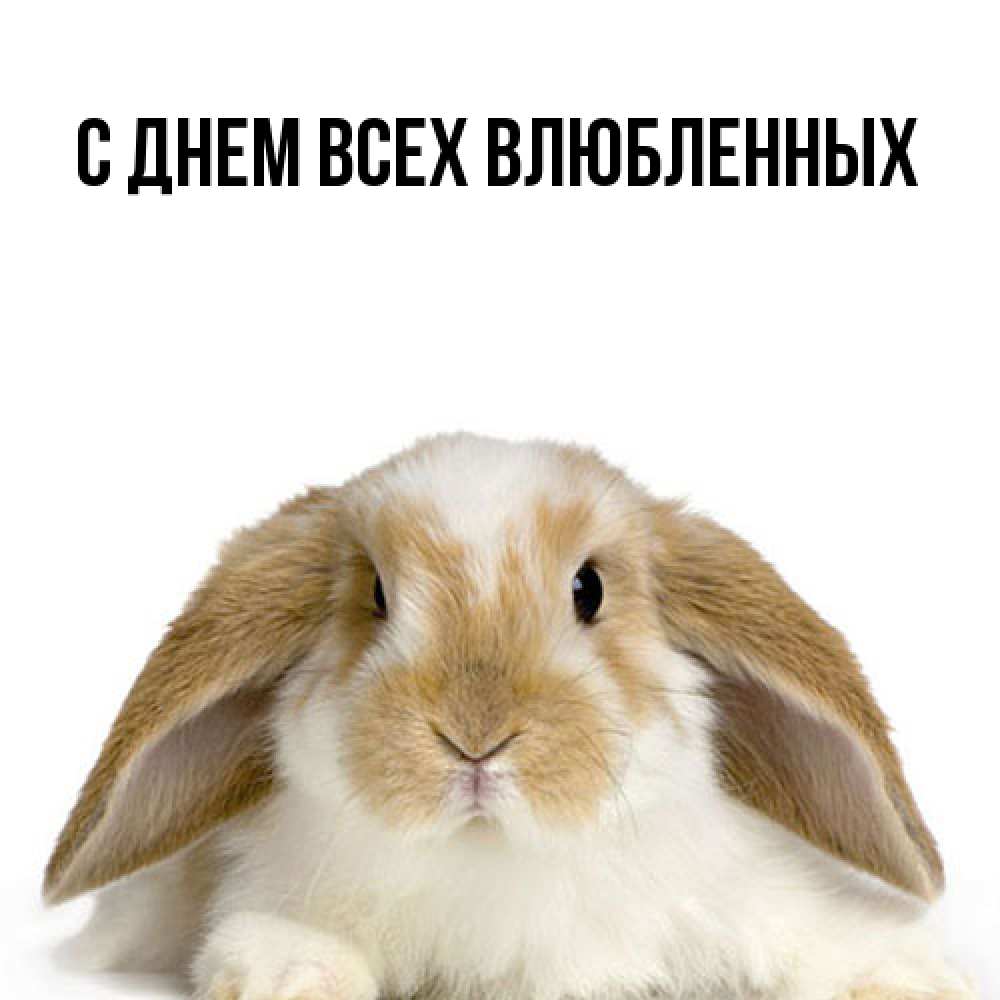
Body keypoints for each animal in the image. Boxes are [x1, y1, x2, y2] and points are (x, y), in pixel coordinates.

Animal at [45, 434, 975, 1000]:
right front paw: (292, 976)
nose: (475, 736)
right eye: (376, 595)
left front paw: (910, 977)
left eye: (589, 589)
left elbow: (816, 938)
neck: (495, 857)